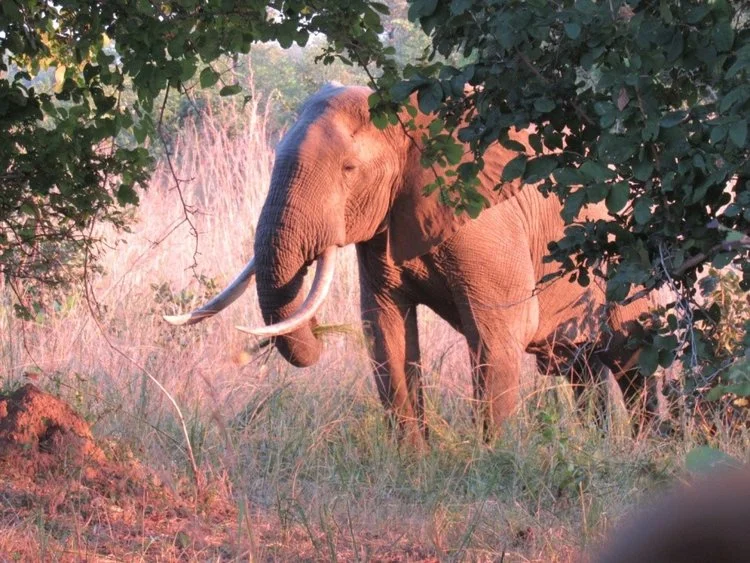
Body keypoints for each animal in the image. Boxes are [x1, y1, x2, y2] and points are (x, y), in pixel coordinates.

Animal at [165, 83, 661, 442]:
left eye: (349, 170)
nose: (245, 352)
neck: (410, 116)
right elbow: (387, 332)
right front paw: (414, 460)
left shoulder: (488, 225)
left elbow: (497, 334)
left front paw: (494, 461)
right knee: (586, 372)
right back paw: (602, 449)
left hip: (637, 265)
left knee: (639, 364)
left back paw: (650, 450)